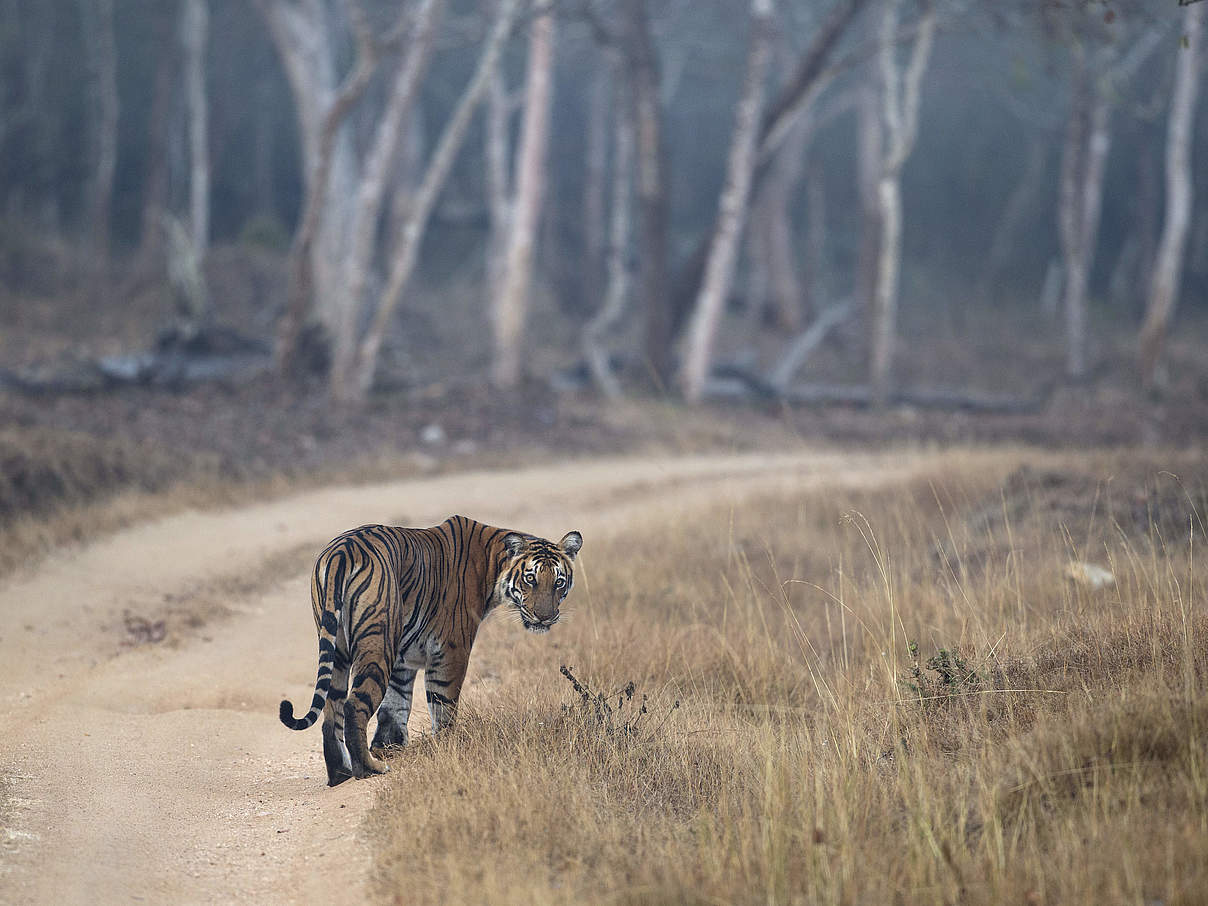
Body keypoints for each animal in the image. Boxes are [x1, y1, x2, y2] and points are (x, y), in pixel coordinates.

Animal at [282, 517, 584, 787]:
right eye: (530, 579)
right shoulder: (451, 650)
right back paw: (368, 769)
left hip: (338, 649)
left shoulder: (403, 661)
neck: (492, 565)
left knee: (331, 711)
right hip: (377, 644)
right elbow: (442, 704)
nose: (544, 617)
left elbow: (395, 705)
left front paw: (389, 747)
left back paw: (340, 774)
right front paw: (448, 747)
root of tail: (341, 551)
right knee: (353, 705)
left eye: (558, 582)